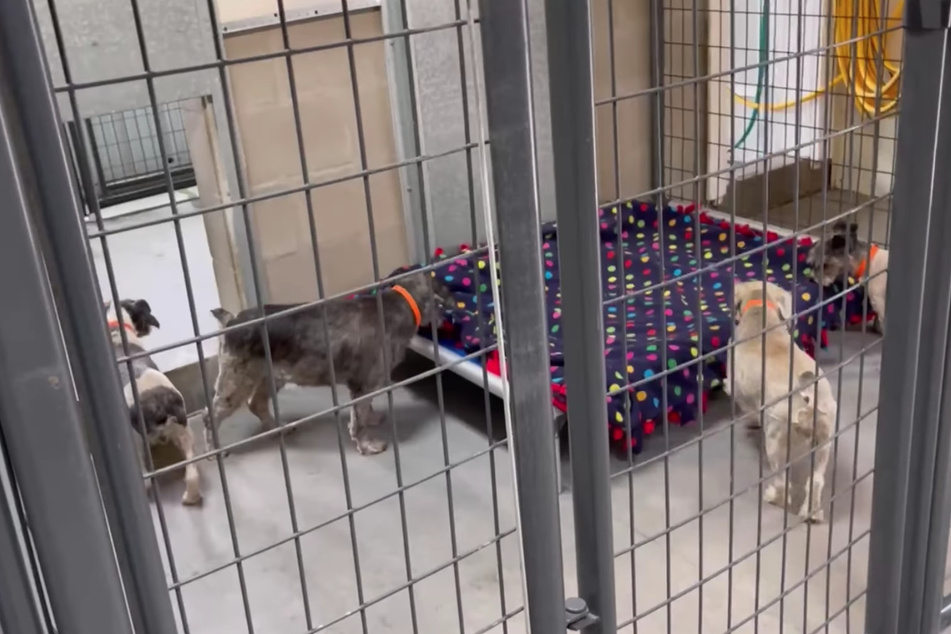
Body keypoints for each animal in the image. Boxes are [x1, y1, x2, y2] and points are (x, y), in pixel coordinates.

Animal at [206, 270, 452, 454]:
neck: (401, 304)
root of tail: (231, 321)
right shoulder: (365, 384)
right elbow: (359, 420)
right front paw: (368, 445)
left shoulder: (365, 385)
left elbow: (365, 411)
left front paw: (372, 417)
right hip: (236, 379)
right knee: (212, 415)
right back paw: (215, 450)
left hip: (270, 375)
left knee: (256, 404)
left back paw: (279, 428)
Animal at [724, 280, 836, 520]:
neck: (761, 313)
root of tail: (808, 397)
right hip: (825, 439)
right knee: (816, 480)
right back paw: (812, 513)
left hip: (776, 439)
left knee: (783, 481)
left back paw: (773, 497)